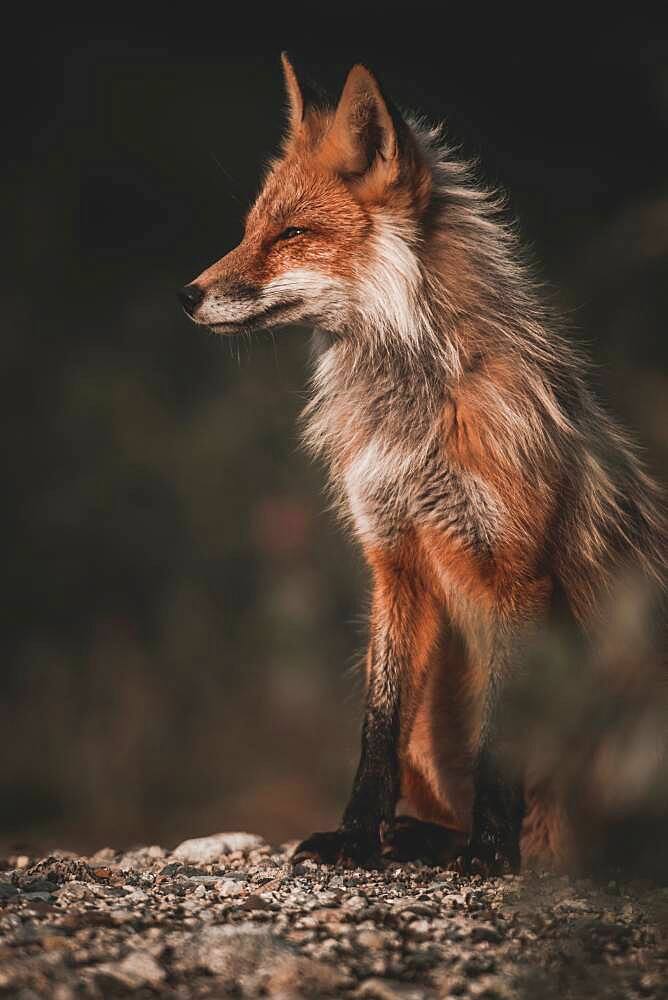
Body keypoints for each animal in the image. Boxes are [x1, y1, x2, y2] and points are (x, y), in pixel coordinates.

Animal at [180, 54, 664, 872]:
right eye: (251, 231)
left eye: (292, 233)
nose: (188, 297)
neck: (412, 428)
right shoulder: (394, 559)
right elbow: (376, 731)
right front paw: (355, 836)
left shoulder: (517, 574)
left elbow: (504, 746)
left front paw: (490, 852)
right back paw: (421, 837)